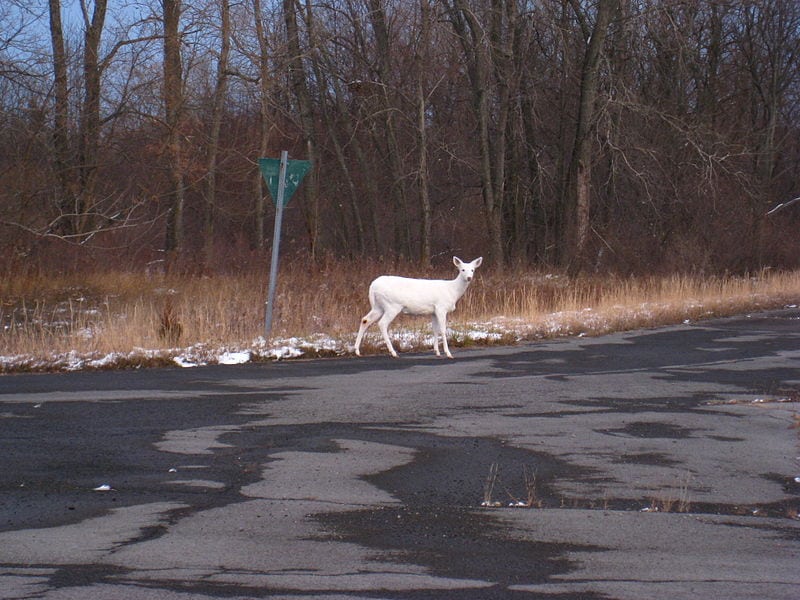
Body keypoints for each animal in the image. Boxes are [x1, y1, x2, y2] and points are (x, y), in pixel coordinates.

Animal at [354, 255, 482, 358]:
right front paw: (448, 353)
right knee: (382, 323)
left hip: (378, 306)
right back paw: (393, 352)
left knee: (365, 319)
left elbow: (435, 330)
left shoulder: (433, 311)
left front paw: (437, 352)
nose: (469, 277)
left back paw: (357, 351)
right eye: (462, 269)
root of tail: (372, 286)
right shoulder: (441, 307)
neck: (452, 291)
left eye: (472, 270)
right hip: (392, 305)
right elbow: (443, 330)